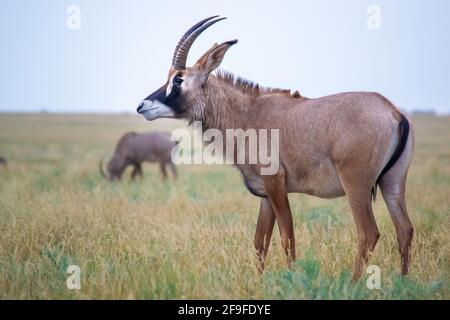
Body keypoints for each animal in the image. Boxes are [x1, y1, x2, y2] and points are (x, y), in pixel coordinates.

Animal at [136, 16, 414, 280]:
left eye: (179, 78)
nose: (142, 106)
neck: (248, 114)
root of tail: (394, 113)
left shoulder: (276, 184)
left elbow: (286, 237)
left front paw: (293, 278)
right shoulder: (266, 194)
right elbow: (260, 241)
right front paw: (259, 281)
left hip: (356, 185)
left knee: (368, 233)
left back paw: (353, 283)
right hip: (392, 182)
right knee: (405, 229)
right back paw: (403, 281)